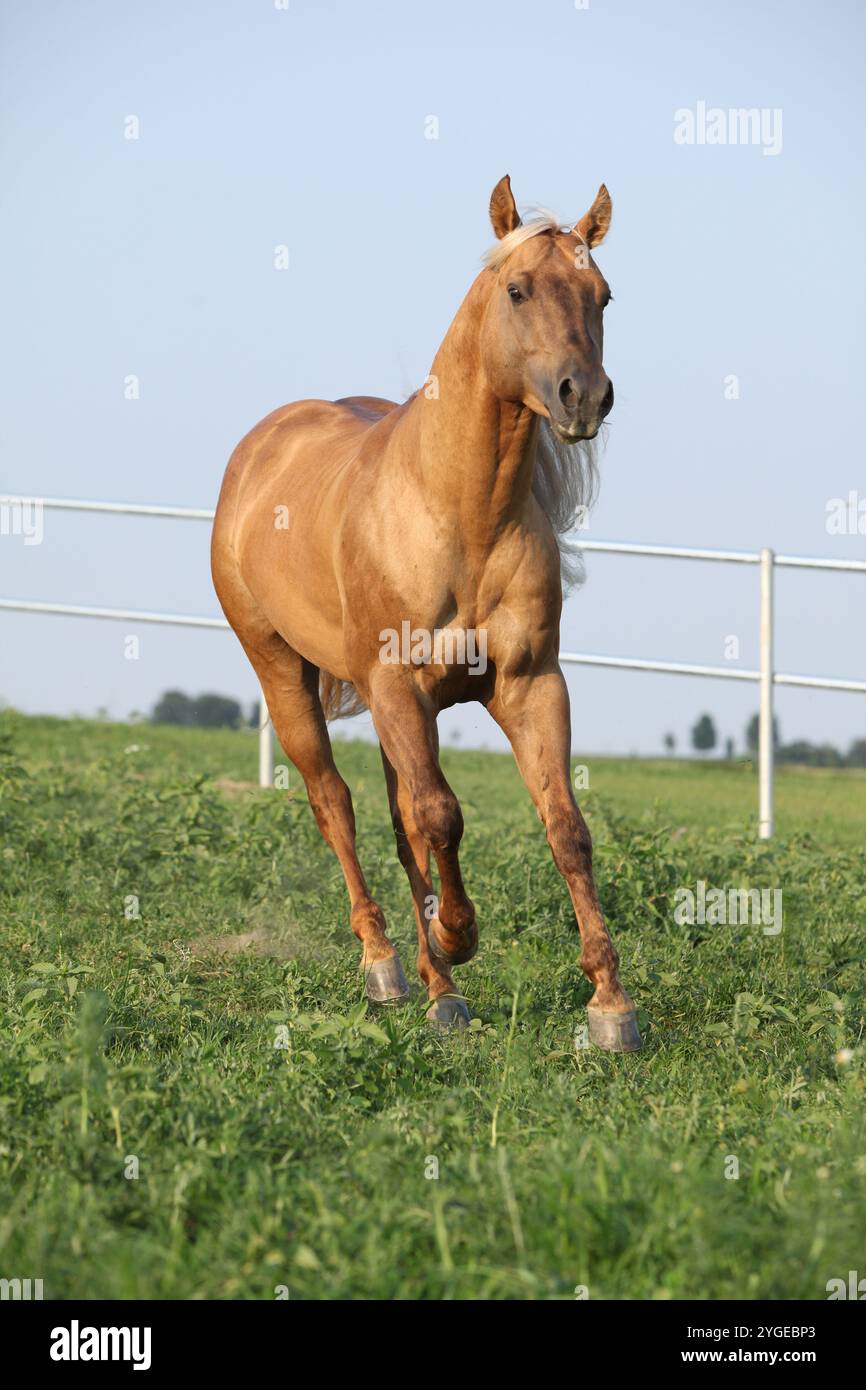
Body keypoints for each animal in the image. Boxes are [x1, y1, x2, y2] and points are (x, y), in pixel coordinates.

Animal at [211, 175, 640, 1052]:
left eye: (604, 296)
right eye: (517, 289)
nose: (584, 397)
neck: (461, 515)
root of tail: (262, 445)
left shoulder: (529, 686)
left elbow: (565, 828)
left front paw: (610, 1004)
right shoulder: (398, 689)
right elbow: (442, 818)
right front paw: (458, 934)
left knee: (396, 815)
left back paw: (437, 988)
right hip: (284, 675)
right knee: (337, 807)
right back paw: (389, 967)